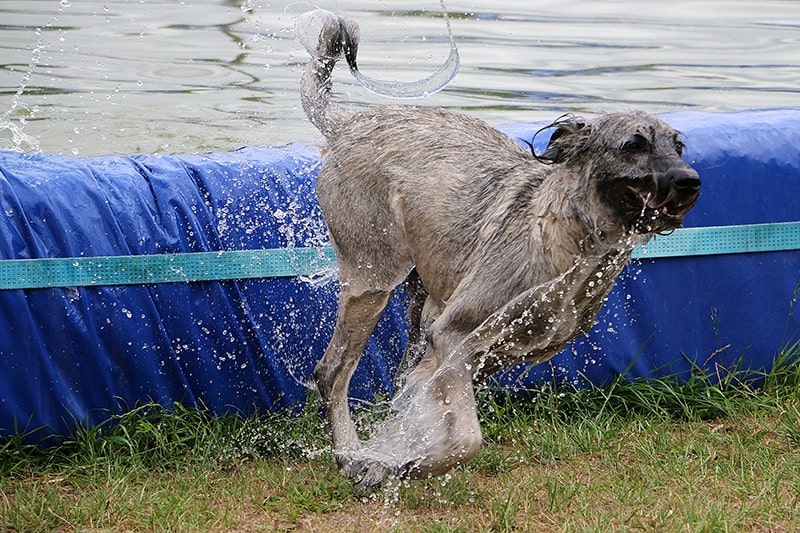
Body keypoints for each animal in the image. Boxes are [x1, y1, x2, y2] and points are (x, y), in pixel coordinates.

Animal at [300, 12, 700, 488]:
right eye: (634, 146)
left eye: (678, 146)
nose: (690, 181)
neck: (571, 250)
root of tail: (348, 125)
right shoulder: (454, 337)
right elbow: (466, 439)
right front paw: (402, 465)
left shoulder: (467, 353)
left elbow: (416, 412)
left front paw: (395, 458)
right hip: (371, 282)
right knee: (331, 374)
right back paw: (348, 454)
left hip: (417, 301)